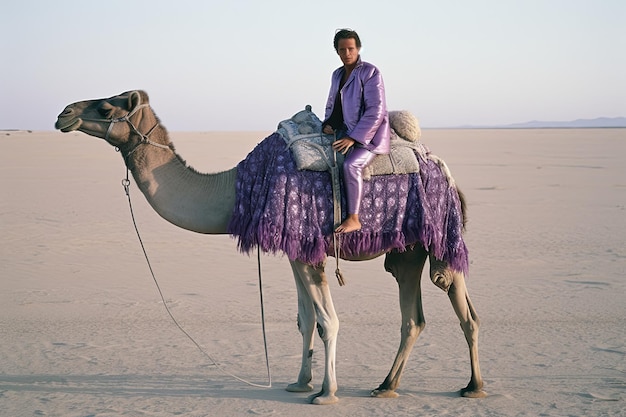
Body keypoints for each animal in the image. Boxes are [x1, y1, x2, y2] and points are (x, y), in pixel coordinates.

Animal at [54, 88, 482, 404]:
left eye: (106, 106)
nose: (63, 114)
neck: (235, 187)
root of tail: (443, 168)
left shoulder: (306, 244)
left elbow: (328, 321)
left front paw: (326, 393)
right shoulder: (295, 250)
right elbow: (306, 320)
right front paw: (299, 383)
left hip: (440, 234)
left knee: (461, 305)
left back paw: (473, 387)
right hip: (408, 250)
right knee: (414, 318)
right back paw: (386, 386)